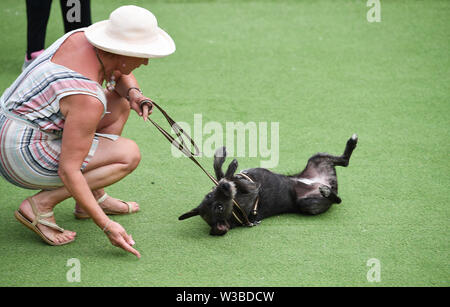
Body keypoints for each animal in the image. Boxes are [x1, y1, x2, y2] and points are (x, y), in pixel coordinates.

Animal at [179, 134, 358, 237]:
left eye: (209, 196)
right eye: (219, 208)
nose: (224, 188)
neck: (235, 206)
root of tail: (329, 183)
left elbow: (220, 173)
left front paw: (221, 158)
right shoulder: (252, 189)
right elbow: (230, 178)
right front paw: (229, 170)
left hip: (316, 159)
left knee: (344, 161)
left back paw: (351, 143)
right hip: (307, 203)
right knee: (337, 199)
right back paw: (327, 192)